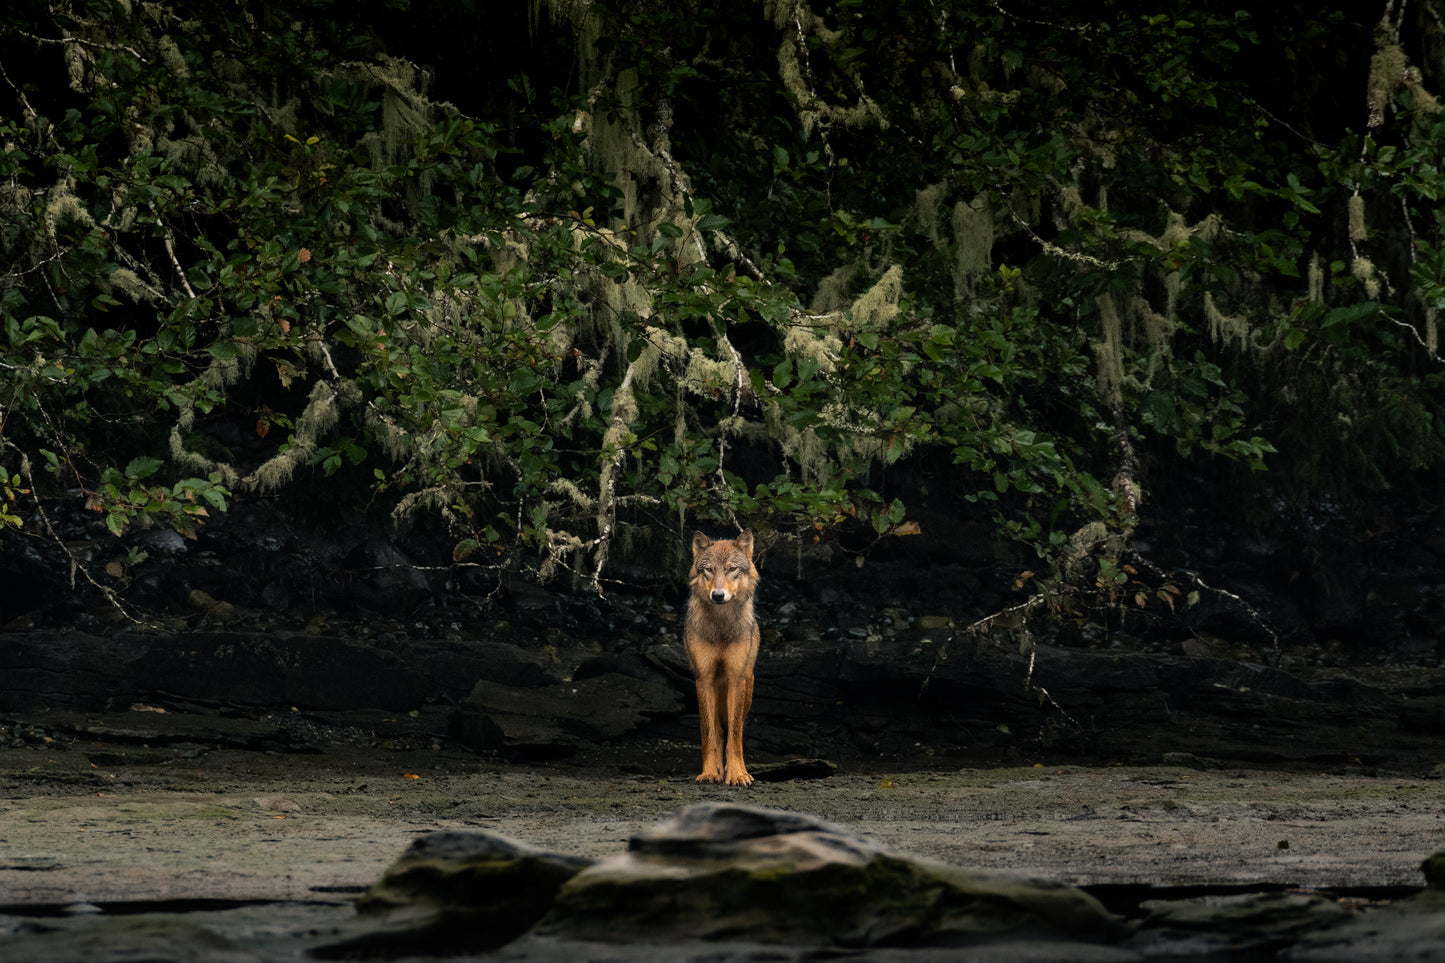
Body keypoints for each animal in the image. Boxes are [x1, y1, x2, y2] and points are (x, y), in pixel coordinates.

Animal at [684, 530, 760, 786]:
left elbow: (735, 734)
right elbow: (709, 733)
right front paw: (709, 772)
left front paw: (737, 773)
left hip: (747, 688)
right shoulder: (704, 679)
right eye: (709, 570)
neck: (721, 627)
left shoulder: (737, 678)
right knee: (716, 730)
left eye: (731, 569)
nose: (718, 595)